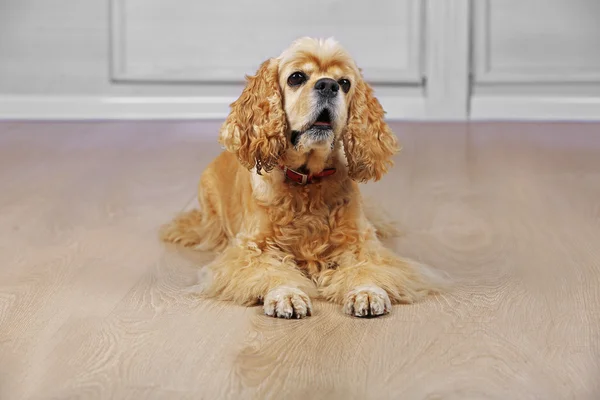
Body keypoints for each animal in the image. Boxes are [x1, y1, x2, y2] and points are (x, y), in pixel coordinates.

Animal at [159, 37, 446, 318]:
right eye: (296, 77)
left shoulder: (360, 243)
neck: (307, 181)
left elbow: (367, 266)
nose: (328, 85)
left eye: (345, 82)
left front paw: (366, 291)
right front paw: (286, 294)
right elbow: (270, 272)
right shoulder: (251, 250)